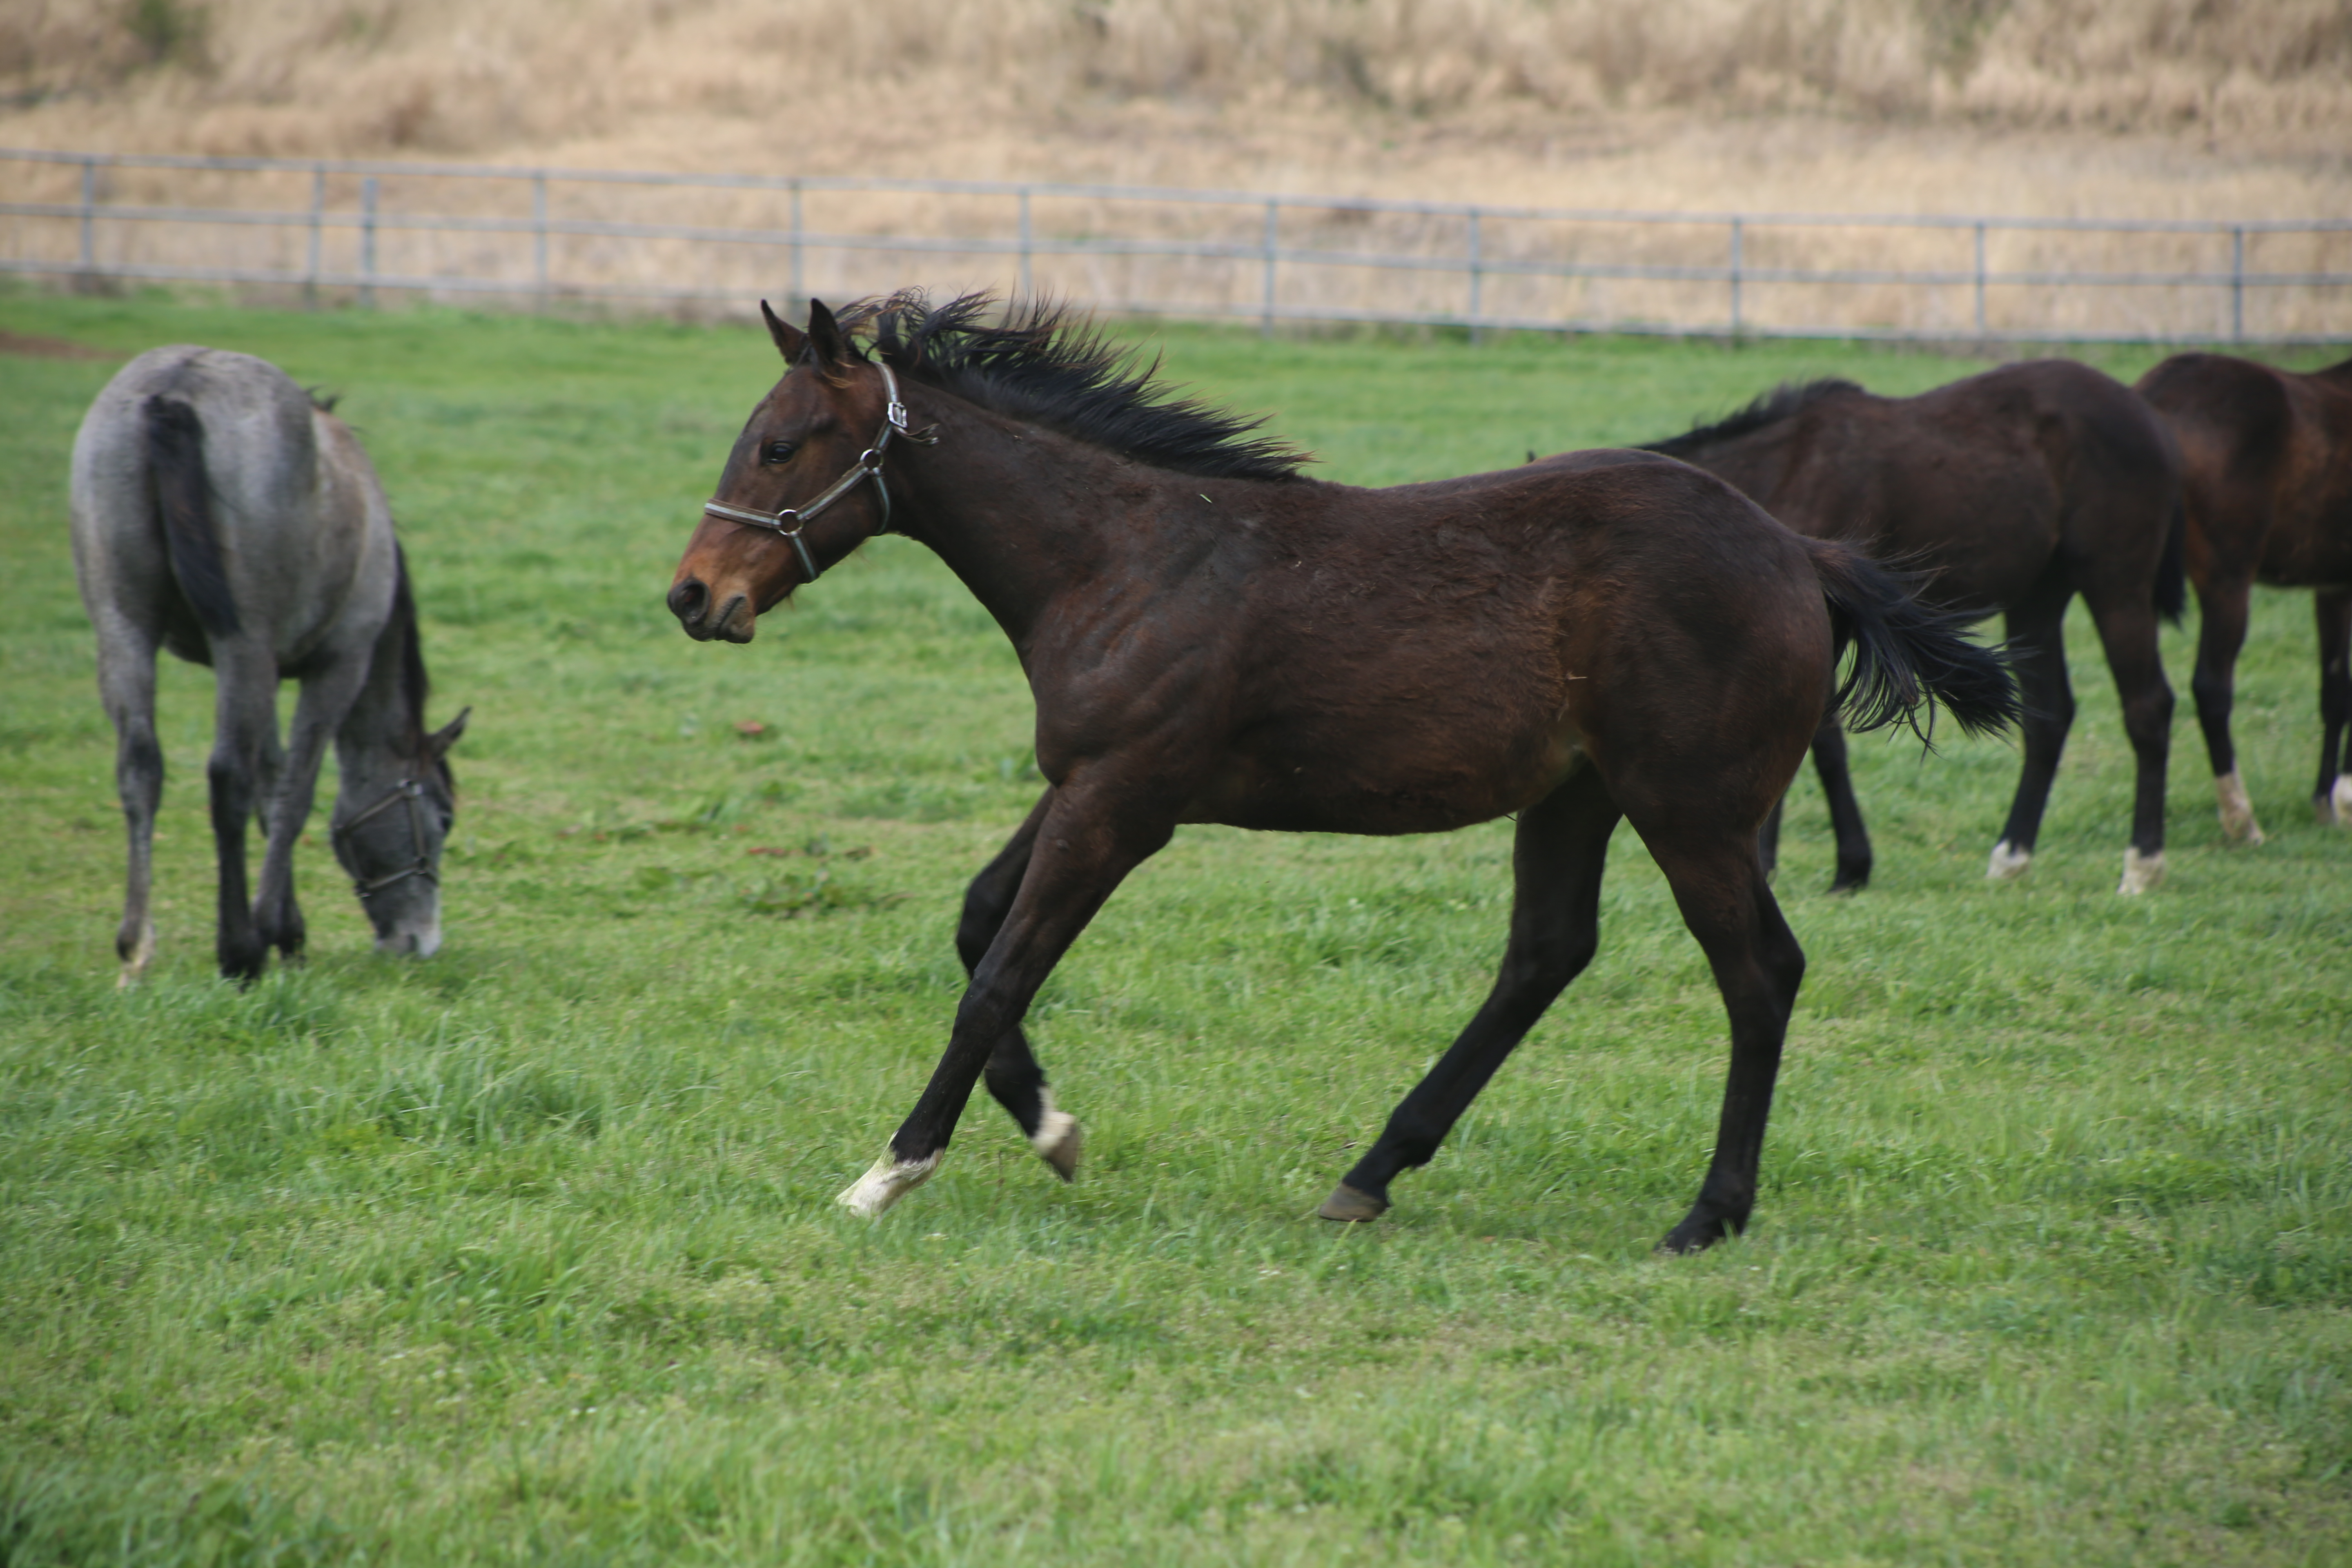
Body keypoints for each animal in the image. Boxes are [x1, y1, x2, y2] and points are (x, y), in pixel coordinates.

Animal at [70, 345, 468, 982]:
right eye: (445, 816)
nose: (419, 942)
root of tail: (175, 388)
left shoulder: (270, 668)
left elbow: (271, 777)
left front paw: (286, 924)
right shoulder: (336, 667)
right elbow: (291, 793)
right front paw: (277, 929)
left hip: (124, 626)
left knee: (140, 769)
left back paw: (136, 947)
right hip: (243, 644)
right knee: (227, 776)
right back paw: (239, 950)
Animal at [673, 291, 2013, 1250]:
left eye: (782, 445)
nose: (694, 597)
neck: (1120, 559)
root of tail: (1800, 552)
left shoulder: (1121, 802)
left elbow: (999, 973)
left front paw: (888, 1171)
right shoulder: (1091, 781)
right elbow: (976, 920)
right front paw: (1052, 1128)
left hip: (1689, 807)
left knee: (1758, 972)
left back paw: (1706, 1213)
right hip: (1575, 794)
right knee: (1546, 954)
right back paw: (1370, 1173)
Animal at [1646, 359, 2173, 893]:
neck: (1782, 474)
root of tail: (2140, 411)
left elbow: (1821, 743)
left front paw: (1841, 865)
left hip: (2116, 586)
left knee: (2147, 707)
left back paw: (2142, 865)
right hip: (2038, 598)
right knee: (2049, 718)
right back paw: (2011, 856)